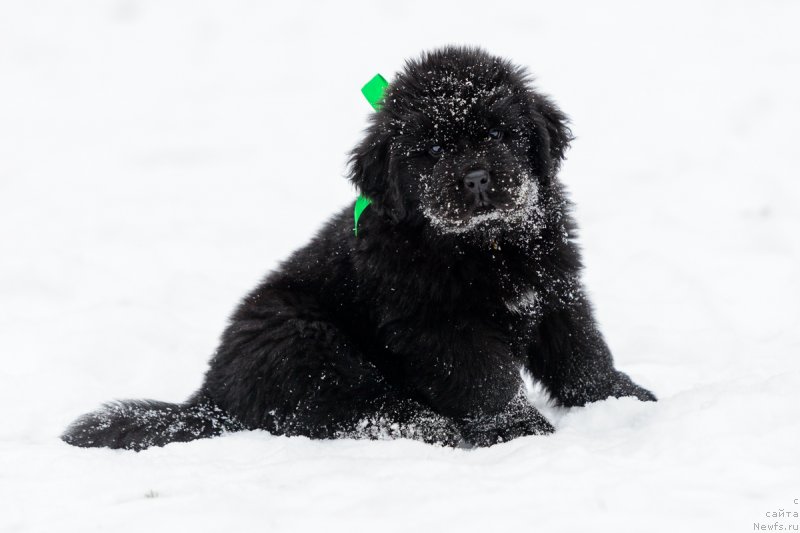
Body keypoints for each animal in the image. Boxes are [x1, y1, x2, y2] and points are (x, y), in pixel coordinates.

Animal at [64, 47, 656, 450]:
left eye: (499, 133)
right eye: (431, 149)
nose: (476, 178)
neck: (484, 248)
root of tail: (211, 396)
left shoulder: (554, 289)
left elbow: (582, 352)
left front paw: (623, 400)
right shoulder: (437, 326)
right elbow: (488, 378)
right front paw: (522, 429)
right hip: (309, 343)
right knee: (359, 413)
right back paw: (437, 427)